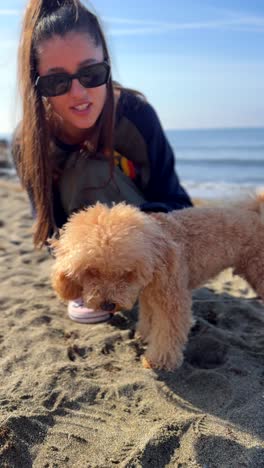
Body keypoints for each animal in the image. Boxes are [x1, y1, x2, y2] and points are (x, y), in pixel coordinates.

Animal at [50, 194, 264, 370]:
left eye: (127, 273)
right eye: (91, 271)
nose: (107, 305)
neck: (158, 252)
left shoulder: (171, 299)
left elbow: (167, 332)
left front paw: (158, 360)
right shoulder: (149, 292)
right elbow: (148, 316)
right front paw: (144, 334)